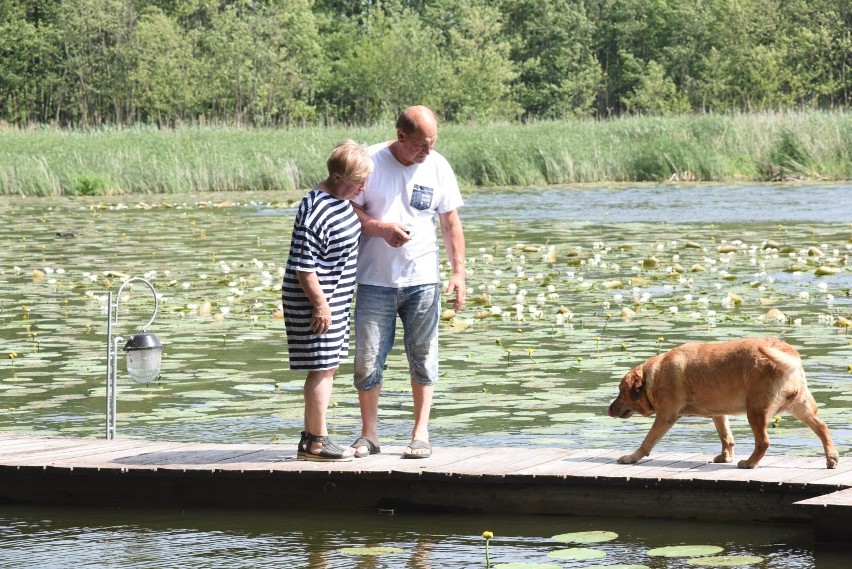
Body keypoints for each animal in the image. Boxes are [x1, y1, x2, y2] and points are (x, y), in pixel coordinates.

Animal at [604, 338, 840, 466]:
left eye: (621, 391)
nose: (608, 409)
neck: (654, 375)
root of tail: (788, 352)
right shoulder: (718, 413)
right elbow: (726, 437)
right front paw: (726, 457)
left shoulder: (665, 416)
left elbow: (647, 441)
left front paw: (631, 457)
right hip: (800, 407)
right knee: (822, 427)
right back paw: (832, 458)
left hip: (755, 410)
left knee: (763, 442)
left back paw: (749, 464)